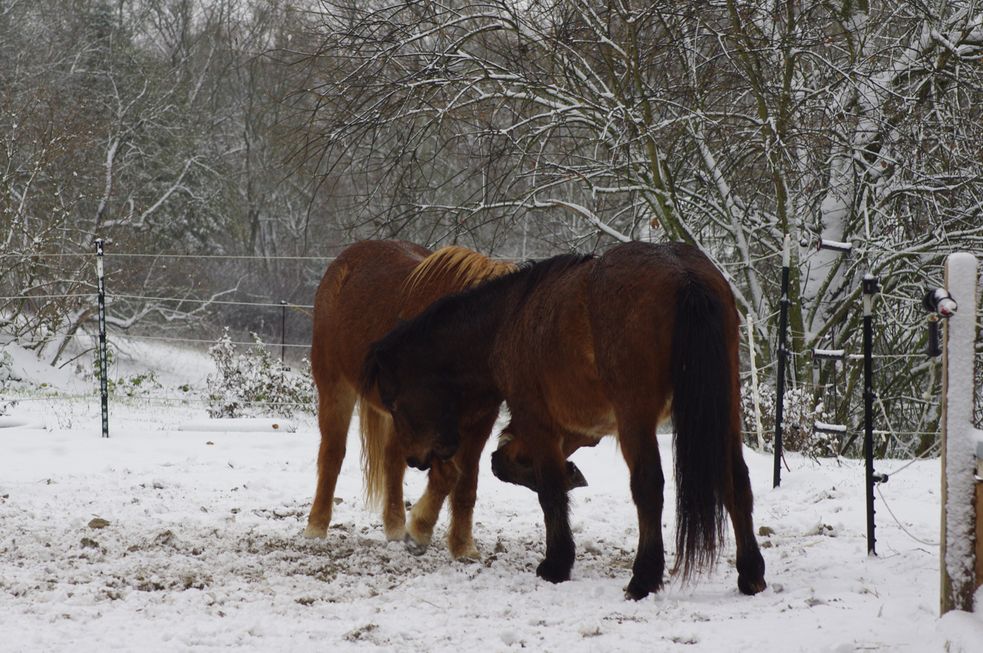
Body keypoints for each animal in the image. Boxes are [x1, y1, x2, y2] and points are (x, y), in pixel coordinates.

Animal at [308, 239, 516, 556]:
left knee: (393, 462)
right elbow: (448, 475)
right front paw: (420, 529)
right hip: (335, 388)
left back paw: (395, 528)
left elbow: (465, 482)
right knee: (332, 453)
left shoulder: (479, 420)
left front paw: (463, 547)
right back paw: (316, 527)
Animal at [364, 241, 768, 600]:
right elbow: (506, 464)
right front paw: (572, 477)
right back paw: (750, 574)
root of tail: (684, 275)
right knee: (736, 481)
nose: (416, 459)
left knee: (649, 485)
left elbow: (549, 488)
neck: (509, 319)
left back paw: (643, 579)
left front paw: (556, 563)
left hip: (636, 417)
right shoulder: (573, 430)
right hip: (725, 411)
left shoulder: (538, 420)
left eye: (394, 401)